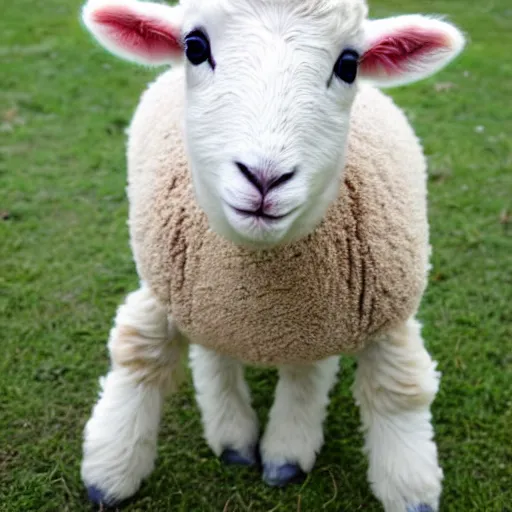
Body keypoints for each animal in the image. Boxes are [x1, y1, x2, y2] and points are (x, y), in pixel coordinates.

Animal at [79, 2, 464, 510]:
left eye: (349, 65)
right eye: (194, 47)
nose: (264, 177)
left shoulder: (385, 312)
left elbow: (398, 389)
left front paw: (409, 488)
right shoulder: (167, 290)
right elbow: (138, 353)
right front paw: (111, 470)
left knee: (307, 366)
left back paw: (286, 451)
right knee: (215, 351)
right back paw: (234, 437)